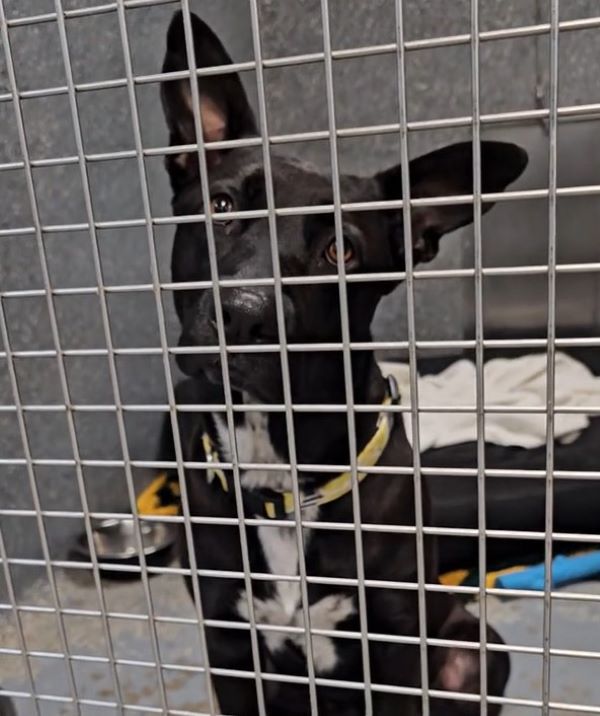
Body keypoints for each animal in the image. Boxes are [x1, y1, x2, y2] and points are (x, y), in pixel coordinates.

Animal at [157, 11, 528, 716]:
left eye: (341, 250)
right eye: (222, 207)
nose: (244, 315)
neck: (281, 475)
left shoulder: (397, 651)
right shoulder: (230, 651)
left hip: (475, 647)